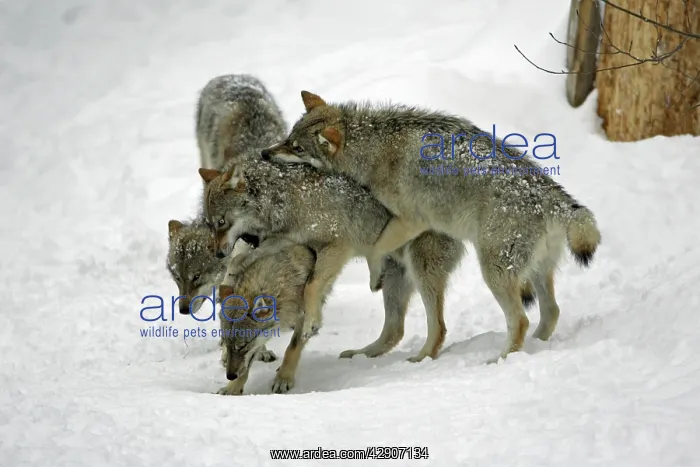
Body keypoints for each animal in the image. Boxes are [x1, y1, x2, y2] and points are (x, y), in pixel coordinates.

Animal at [261, 91, 602, 360]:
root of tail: (552, 195)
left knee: (506, 322)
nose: (264, 152)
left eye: (298, 148)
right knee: (550, 312)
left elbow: (376, 249)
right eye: (288, 139)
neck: (372, 148)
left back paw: (488, 359)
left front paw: (373, 275)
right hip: (531, 273)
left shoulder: (411, 219)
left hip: (472, 272)